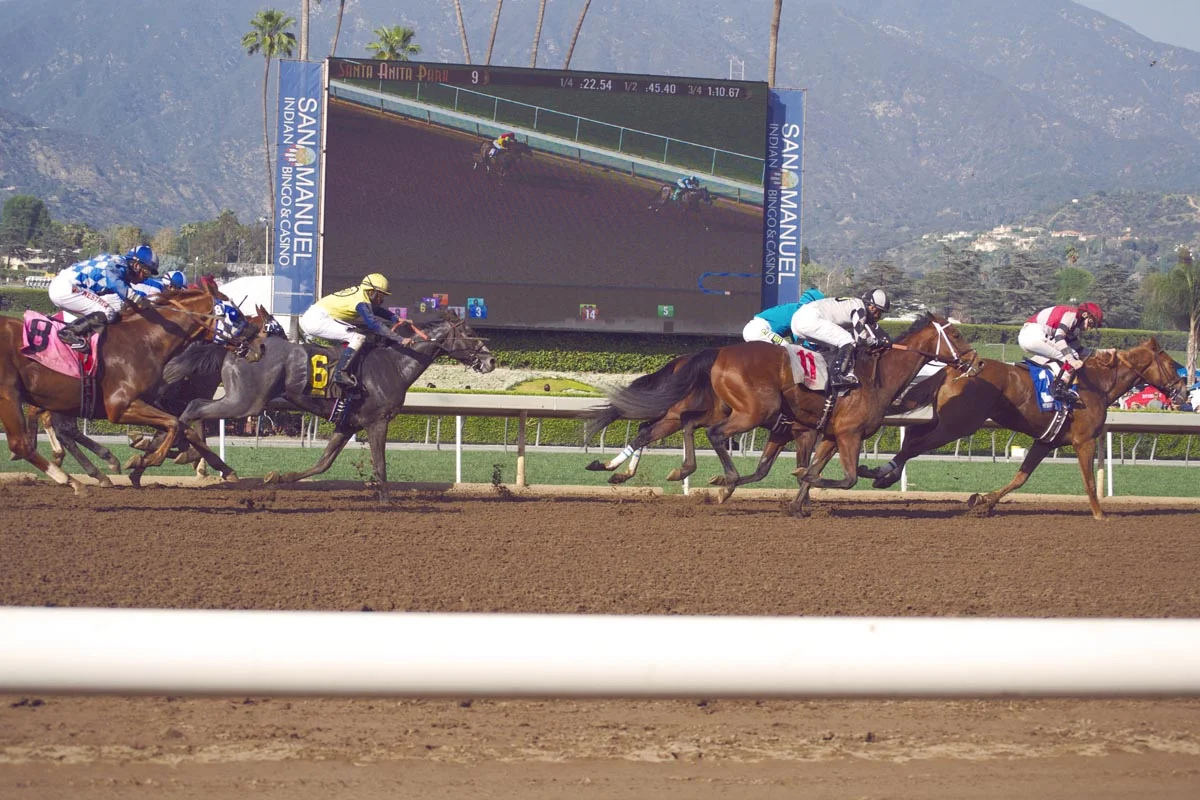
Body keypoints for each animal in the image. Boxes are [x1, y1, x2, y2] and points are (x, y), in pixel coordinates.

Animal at [0, 284, 253, 491]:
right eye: (235, 314)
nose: (254, 340)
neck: (144, 340)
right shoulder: (120, 406)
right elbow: (174, 424)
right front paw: (145, 460)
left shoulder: (148, 400)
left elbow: (182, 427)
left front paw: (225, 469)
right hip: (18, 396)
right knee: (37, 438)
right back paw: (83, 475)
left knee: (54, 431)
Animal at [162, 309, 494, 496]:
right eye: (469, 332)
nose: (490, 360)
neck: (394, 363)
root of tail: (239, 348)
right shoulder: (377, 421)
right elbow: (380, 466)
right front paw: (386, 500)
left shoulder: (348, 423)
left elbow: (323, 463)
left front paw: (279, 477)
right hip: (247, 402)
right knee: (194, 408)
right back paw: (175, 449)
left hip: (240, 398)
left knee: (195, 407)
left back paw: (183, 451)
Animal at [859, 335, 1185, 520]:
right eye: (1172, 365)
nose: (1182, 391)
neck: (1097, 385)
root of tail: (954, 368)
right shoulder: (1085, 440)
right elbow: (1090, 482)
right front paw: (1100, 514)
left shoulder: (1046, 441)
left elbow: (1020, 478)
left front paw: (984, 502)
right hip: (959, 424)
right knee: (914, 444)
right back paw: (883, 475)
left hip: (945, 420)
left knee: (912, 437)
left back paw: (881, 473)